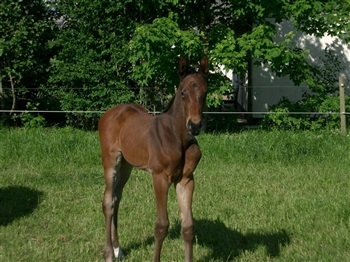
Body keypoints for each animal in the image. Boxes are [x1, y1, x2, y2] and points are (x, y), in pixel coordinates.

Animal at [98, 56, 208, 260]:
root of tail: (110, 113)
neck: (178, 137)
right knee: (108, 200)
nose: (194, 125)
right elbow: (161, 226)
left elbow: (188, 227)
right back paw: (109, 253)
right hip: (111, 161)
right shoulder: (160, 177)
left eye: (205, 92)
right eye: (183, 92)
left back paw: (118, 249)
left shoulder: (186, 180)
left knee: (117, 197)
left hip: (126, 165)